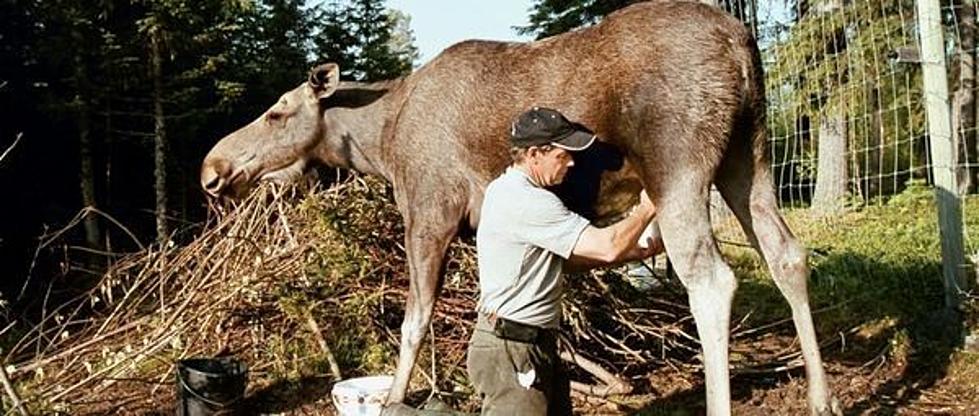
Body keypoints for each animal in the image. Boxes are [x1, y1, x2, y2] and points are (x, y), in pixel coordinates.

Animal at [199, 1, 844, 414]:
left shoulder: (429, 208)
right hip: (748, 158)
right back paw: (822, 398)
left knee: (711, 280)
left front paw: (395, 398)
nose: (212, 169)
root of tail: (742, 45)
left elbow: (413, 322)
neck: (379, 140)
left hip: (678, 165)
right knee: (787, 254)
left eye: (277, 112)